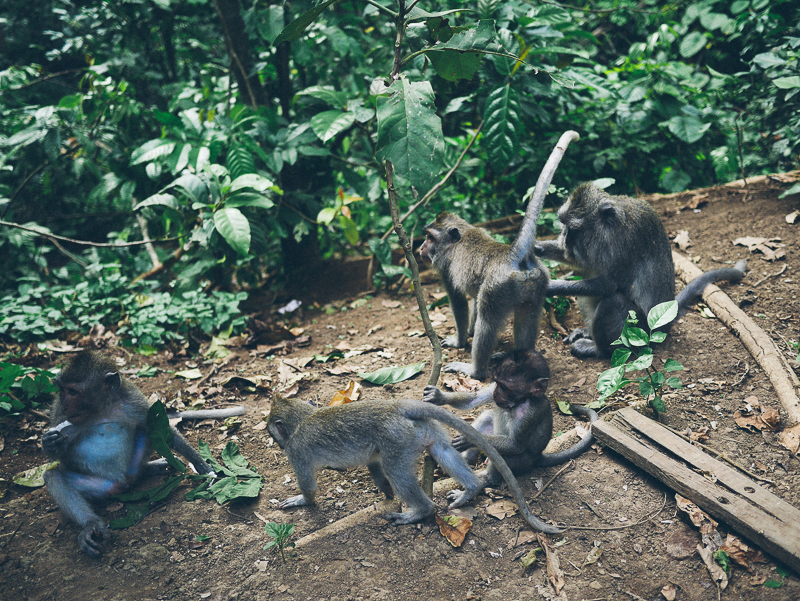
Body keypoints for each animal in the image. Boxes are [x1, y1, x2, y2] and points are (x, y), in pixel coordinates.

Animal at [268, 396, 564, 532]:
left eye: (272, 431)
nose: (274, 441)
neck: (302, 419)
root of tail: (396, 405)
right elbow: (374, 464)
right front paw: (385, 491)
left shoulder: (296, 451)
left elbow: (308, 485)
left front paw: (302, 500)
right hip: (419, 429)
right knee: (440, 449)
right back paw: (471, 489)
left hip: (398, 438)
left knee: (398, 471)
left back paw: (420, 511)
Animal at [418, 131, 580, 378]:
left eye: (429, 237)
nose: (420, 248)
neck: (461, 236)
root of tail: (513, 254)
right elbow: (474, 301)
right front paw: (470, 331)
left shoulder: (445, 267)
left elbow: (459, 303)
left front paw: (460, 340)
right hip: (537, 283)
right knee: (526, 315)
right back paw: (521, 357)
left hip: (498, 288)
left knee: (487, 320)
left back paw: (475, 370)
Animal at [422, 350, 596, 486]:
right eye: (497, 383)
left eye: (505, 387)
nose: (495, 394)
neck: (521, 401)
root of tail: (537, 457)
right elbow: (474, 399)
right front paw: (439, 396)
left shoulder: (529, 414)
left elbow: (515, 445)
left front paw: (468, 440)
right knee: (487, 417)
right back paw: (465, 459)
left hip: (524, 463)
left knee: (504, 454)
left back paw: (485, 480)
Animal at [536, 183, 748, 358]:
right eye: (564, 226)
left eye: (574, 229)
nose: (565, 240)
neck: (606, 230)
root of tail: (665, 323)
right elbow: (575, 261)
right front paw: (535, 249)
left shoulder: (624, 243)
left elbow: (608, 285)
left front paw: (551, 287)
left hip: (641, 330)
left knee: (615, 301)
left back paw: (598, 350)